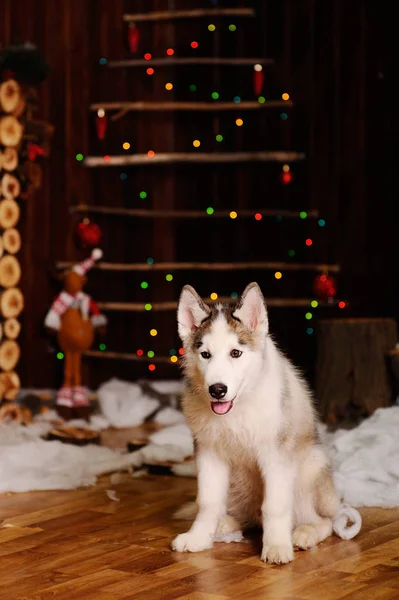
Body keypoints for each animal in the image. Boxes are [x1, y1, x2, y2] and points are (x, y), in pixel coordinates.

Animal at [172, 282, 362, 564]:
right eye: (205, 354)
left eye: (236, 353)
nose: (217, 390)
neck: (238, 409)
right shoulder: (208, 452)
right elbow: (207, 501)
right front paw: (198, 537)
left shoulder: (276, 455)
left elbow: (274, 506)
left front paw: (276, 546)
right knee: (249, 515)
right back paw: (225, 524)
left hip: (309, 471)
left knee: (325, 520)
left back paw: (305, 533)